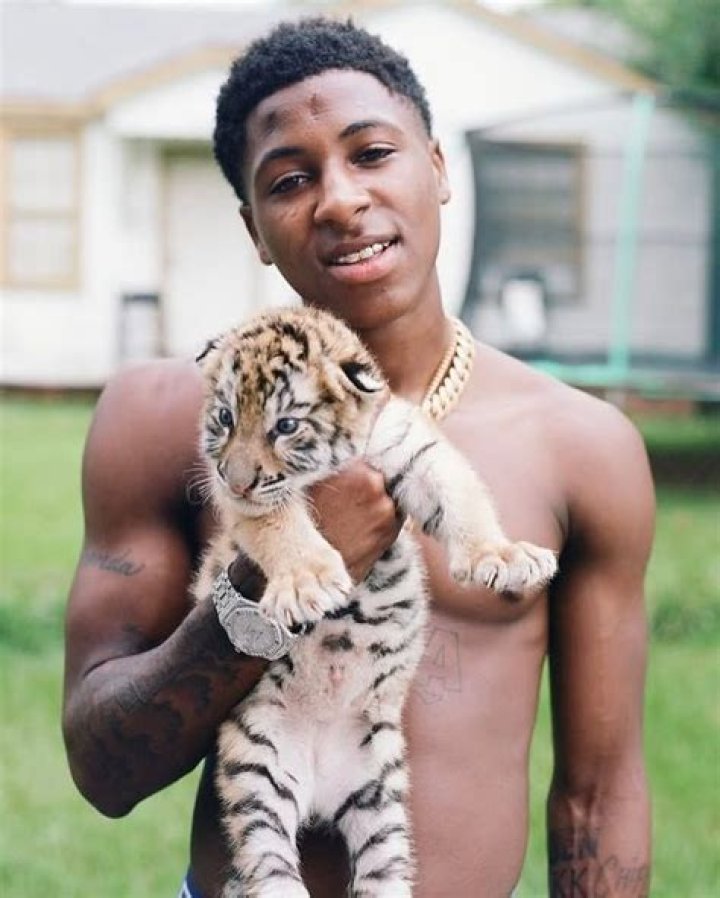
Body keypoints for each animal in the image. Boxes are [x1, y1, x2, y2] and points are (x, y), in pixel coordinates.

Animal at [193, 305, 557, 898]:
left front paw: (502, 555)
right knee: (268, 863)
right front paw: (308, 580)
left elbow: (462, 496)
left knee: (383, 869)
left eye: (285, 426)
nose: (234, 478)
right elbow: (278, 519)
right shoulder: (249, 506)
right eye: (224, 417)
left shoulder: (412, 446)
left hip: (379, 792)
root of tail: (317, 790)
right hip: (258, 774)